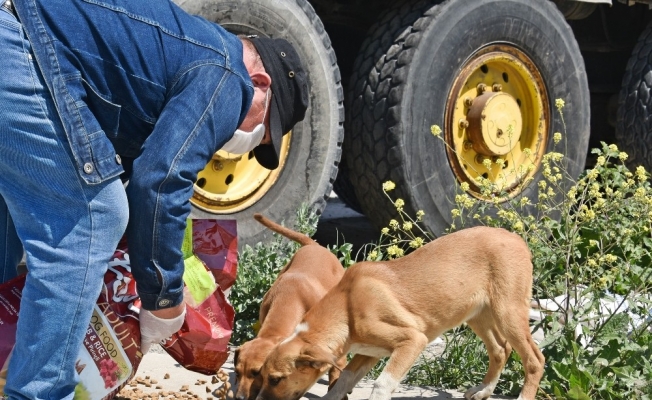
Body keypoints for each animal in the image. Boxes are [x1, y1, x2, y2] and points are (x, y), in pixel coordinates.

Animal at [256, 226, 545, 400]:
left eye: (276, 379)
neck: (347, 306)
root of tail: (515, 237)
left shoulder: (412, 340)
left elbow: (382, 383)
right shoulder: (368, 352)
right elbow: (344, 379)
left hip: (508, 312)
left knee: (534, 359)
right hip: (479, 316)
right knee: (501, 350)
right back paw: (484, 390)